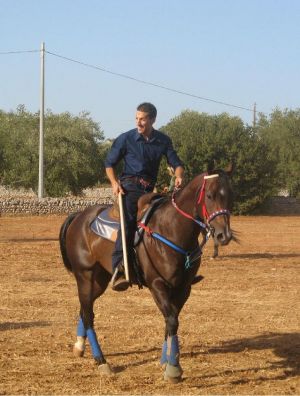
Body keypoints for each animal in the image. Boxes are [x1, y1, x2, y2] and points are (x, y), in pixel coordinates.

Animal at [59, 166, 234, 380]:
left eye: (230, 195)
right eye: (209, 195)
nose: (223, 235)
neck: (172, 228)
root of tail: (78, 216)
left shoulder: (183, 288)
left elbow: (171, 320)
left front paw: (165, 360)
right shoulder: (157, 284)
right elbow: (172, 320)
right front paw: (173, 369)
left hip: (100, 280)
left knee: (85, 309)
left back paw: (79, 346)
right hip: (85, 275)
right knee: (88, 314)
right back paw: (102, 361)